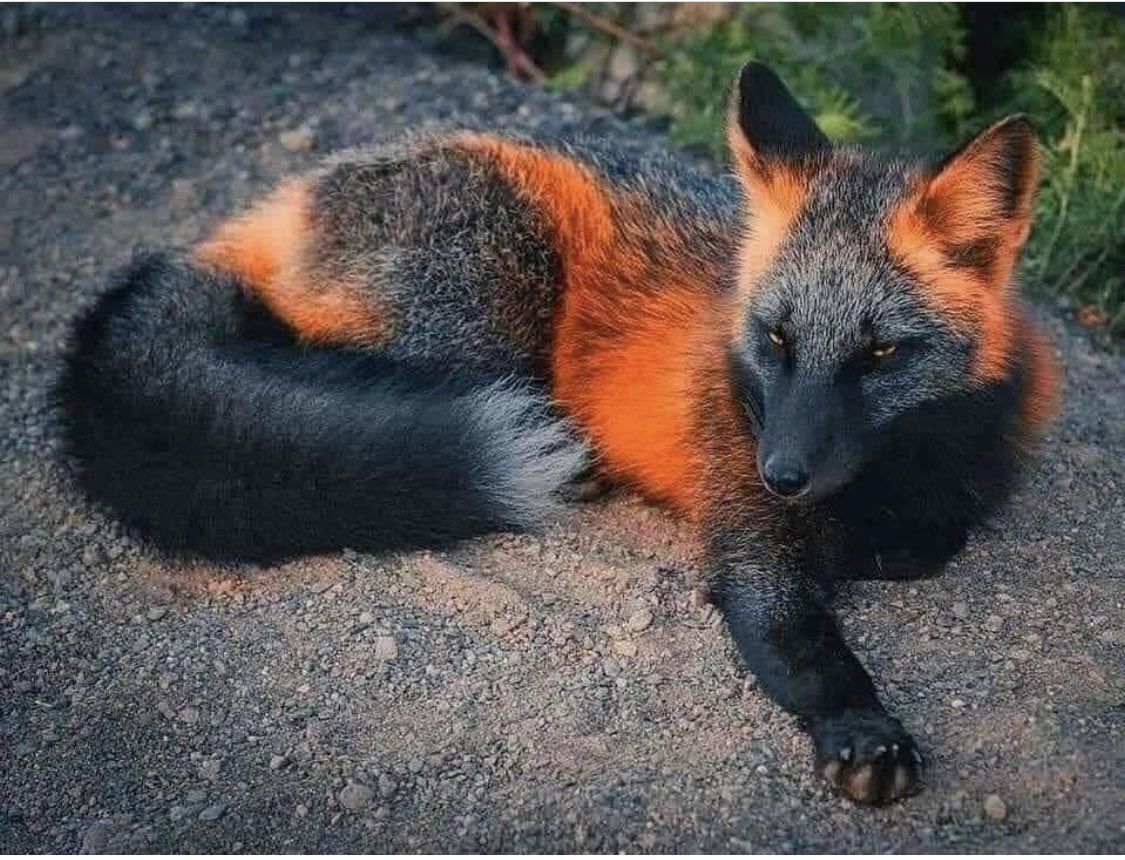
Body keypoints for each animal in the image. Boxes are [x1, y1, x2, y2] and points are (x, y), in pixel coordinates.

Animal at [59, 63, 1059, 805]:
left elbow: (933, 537)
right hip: (489, 310)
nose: (780, 472)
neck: (891, 473)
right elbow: (805, 645)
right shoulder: (745, 537)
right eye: (775, 340)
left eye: (880, 352)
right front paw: (861, 729)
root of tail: (290, 195)